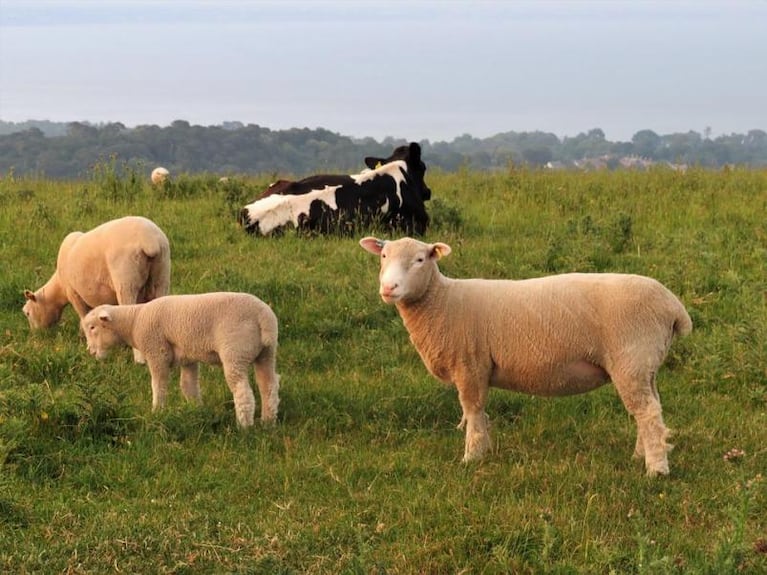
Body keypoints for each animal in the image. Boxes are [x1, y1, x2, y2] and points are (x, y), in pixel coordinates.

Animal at [23, 218, 171, 362]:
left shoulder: (74, 293)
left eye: (27, 313)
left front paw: (86, 341)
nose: (36, 336)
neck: (59, 288)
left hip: (126, 280)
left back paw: (138, 358)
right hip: (161, 276)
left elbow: (84, 317)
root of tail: (150, 242)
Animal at [82, 292, 280, 428]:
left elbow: (159, 386)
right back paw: (268, 422)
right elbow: (188, 385)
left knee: (242, 392)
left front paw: (157, 412)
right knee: (268, 386)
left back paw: (244, 426)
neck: (134, 321)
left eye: (92, 327)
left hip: (235, 352)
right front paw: (197, 410)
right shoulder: (187, 357)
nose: (90, 352)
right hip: (266, 353)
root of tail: (264, 317)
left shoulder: (157, 351)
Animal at [364, 235, 692, 476]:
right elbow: (480, 413)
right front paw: (485, 450)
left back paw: (656, 470)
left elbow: (472, 410)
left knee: (647, 412)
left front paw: (471, 457)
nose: (388, 287)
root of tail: (674, 308)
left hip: (631, 358)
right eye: (383, 257)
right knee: (650, 409)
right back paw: (641, 455)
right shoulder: (477, 367)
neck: (442, 301)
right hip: (645, 365)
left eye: (420, 260)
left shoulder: (470, 364)